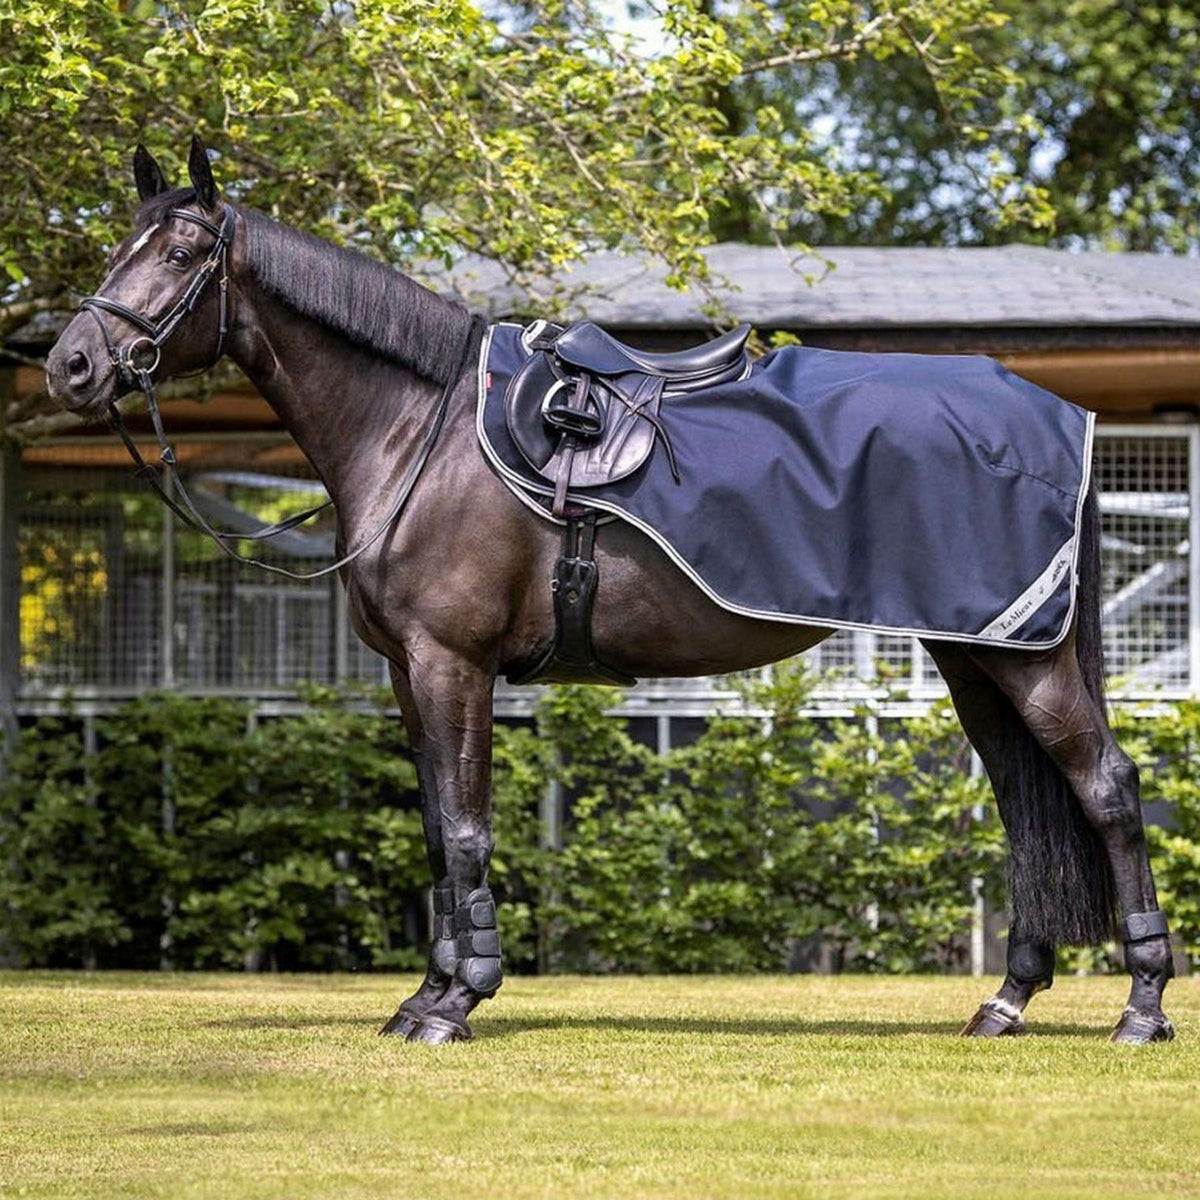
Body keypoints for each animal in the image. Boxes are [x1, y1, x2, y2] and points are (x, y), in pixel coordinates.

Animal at [44, 138, 1171, 1041]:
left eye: (180, 255)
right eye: (116, 247)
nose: (70, 366)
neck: (422, 431)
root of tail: (1054, 413)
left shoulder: (451, 663)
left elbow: (466, 826)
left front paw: (457, 1004)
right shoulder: (411, 672)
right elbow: (436, 826)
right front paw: (424, 994)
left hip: (1022, 662)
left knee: (1107, 789)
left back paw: (1142, 1007)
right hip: (978, 658)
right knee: (1025, 803)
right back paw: (1005, 1003)